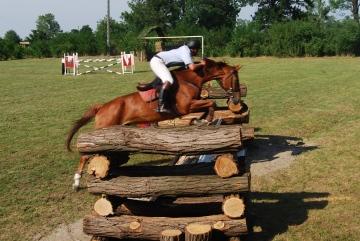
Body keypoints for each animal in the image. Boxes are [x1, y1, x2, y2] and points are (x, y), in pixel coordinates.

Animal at [66, 58, 240, 188]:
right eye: (235, 78)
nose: (237, 99)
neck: (190, 79)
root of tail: (102, 107)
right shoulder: (186, 106)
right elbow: (212, 103)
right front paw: (206, 120)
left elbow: (210, 105)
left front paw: (200, 120)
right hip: (101, 132)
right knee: (85, 155)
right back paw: (76, 182)